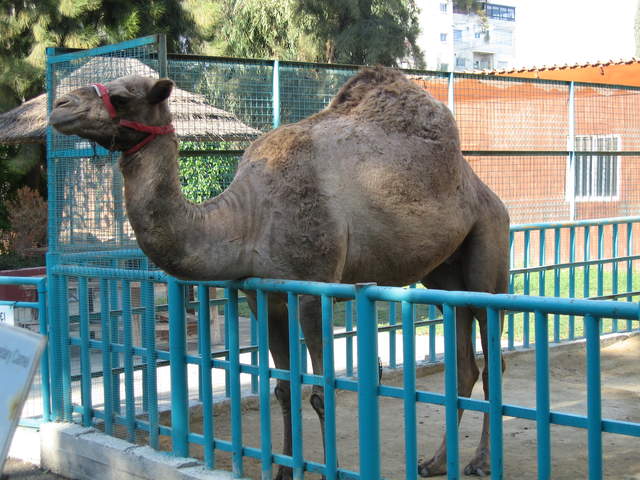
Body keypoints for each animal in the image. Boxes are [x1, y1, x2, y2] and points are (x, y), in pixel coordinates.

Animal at [49, 67, 510, 478]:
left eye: (122, 96)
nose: (59, 106)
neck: (247, 217)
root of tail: (482, 188)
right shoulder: (263, 298)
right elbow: (284, 387)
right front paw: (284, 471)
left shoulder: (313, 290)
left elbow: (323, 391)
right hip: (444, 277)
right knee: (464, 361)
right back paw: (435, 463)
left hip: (490, 246)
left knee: (492, 357)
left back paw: (481, 462)